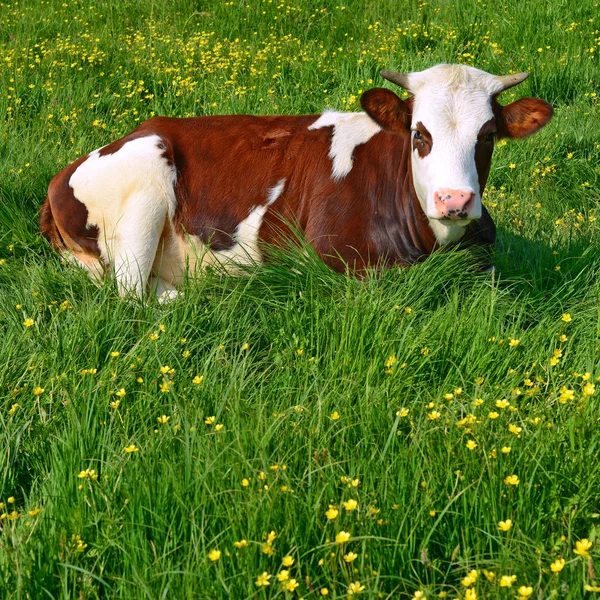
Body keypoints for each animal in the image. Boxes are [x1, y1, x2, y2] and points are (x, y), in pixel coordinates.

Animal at [38, 65, 552, 300]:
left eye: (487, 136)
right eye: (418, 134)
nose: (454, 199)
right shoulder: (343, 263)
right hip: (143, 191)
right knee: (134, 298)